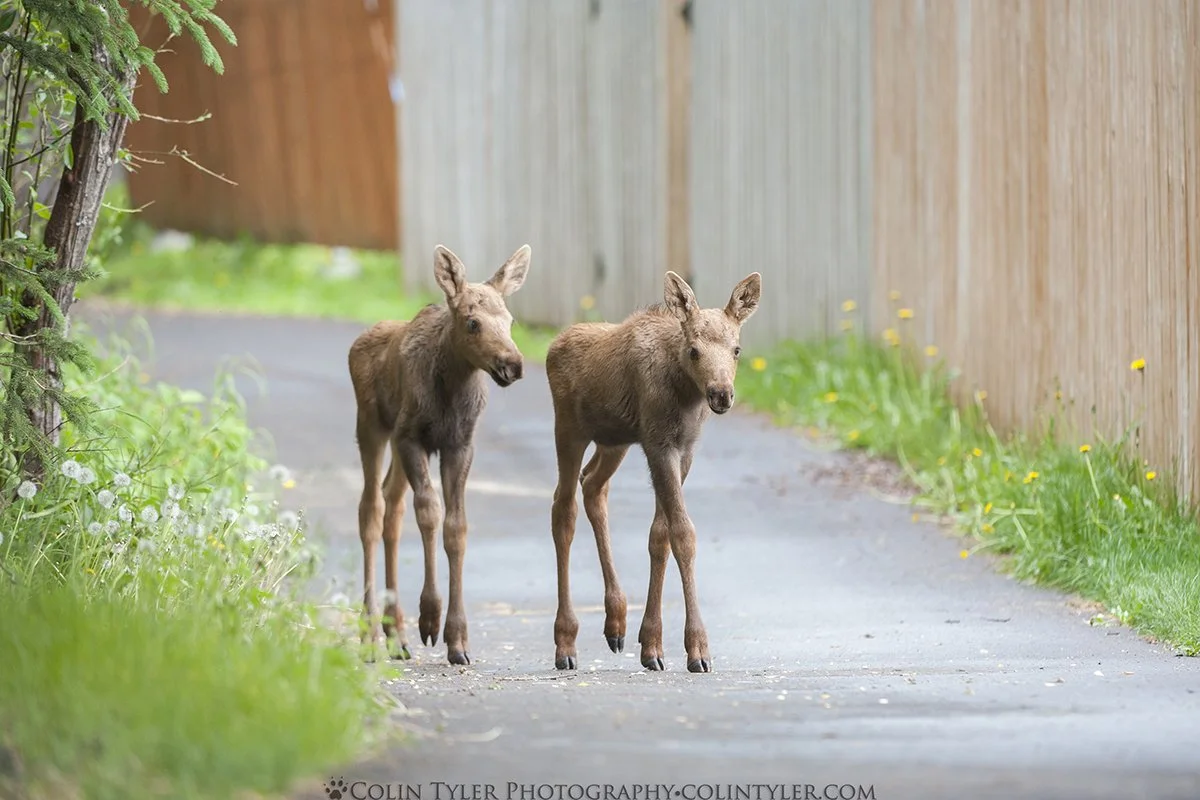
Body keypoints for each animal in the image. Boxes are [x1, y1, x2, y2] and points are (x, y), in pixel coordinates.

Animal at [348, 243, 532, 666]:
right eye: (472, 322)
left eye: (511, 320)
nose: (513, 364)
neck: (451, 391)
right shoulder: (412, 437)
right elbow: (429, 514)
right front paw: (430, 618)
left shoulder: (459, 444)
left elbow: (456, 526)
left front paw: (458, 639)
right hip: (372, 425)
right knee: (371, 509)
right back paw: (370, 636)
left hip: (394, 443)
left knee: (392, 504)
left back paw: (396, 633)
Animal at [545, 269, 762, 673]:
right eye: (694, 350)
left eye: (737, 349)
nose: (721, 393)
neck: (686, 395)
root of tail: (553, 345)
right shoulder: (659, 445)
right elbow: (683, 533)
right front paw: (697, 649)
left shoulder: (684, 450)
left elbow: (659, 534)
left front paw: (651, 644)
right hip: (568, 430)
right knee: (562, 509)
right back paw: (565, 642)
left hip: (613, 441)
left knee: (592, 485)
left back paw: (616, 621)